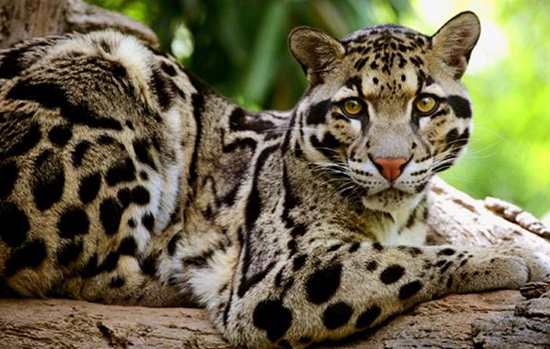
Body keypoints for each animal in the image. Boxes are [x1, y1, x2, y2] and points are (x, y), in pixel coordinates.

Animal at [1, 9, 550, 346]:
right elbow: (393, 260)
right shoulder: (271, 281)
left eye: (426, 104)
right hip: (114, 65)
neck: (395, 213)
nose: (390, 163)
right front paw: (509, 256)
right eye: (353, 107)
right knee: (69, 271)